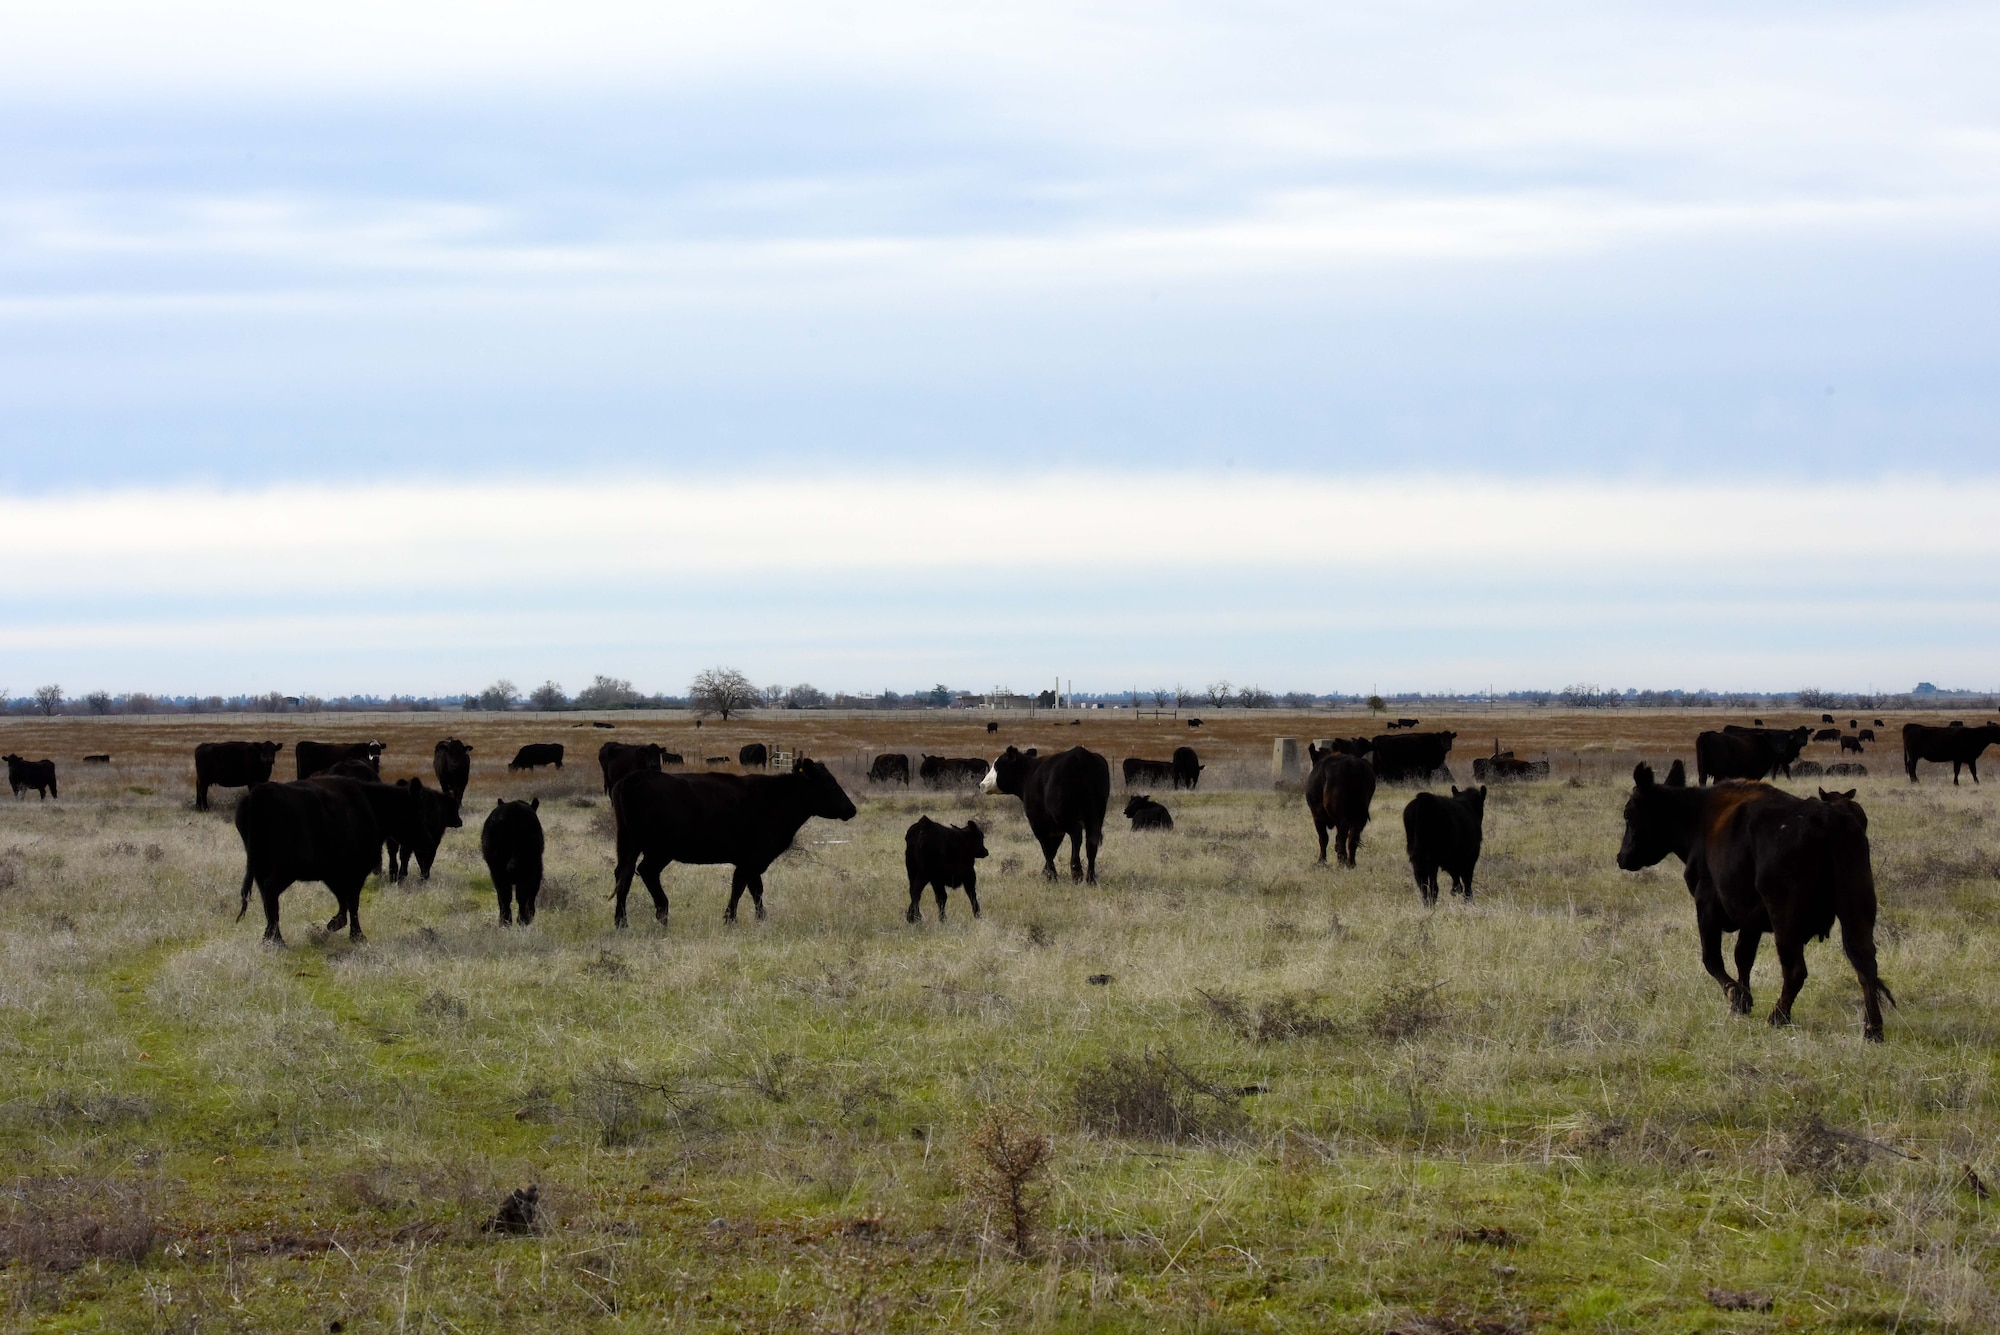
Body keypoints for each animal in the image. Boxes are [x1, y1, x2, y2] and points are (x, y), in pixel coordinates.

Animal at [234, 777, 382, 944]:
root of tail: (261, 792)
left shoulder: (333, 873)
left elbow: (343, 899)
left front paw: (336, 923)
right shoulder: (357, 871)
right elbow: (352, 901)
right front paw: (357, 935)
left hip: (261, 865)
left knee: (265, 896)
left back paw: (271, 939)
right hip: (287, 868)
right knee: (270, 890)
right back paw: (277, 941)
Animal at [610, 757, 857, 926]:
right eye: (830, 784)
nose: (851, 809)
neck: (777, 799)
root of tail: (632, 778)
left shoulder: (751, 861)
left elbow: (756, 890)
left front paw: (760, 919)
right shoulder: (751, 858)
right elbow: (740, 887)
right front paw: (730, 919)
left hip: (628, 843)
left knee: (623, 874)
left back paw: (621, 921)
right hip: (659, 849)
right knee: (645, 871)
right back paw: (662, 912)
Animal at [990, 745, 1111, 883]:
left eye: (996, 766)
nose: (981, 784)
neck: (1028, 774)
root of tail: (1081, 754)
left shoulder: (1037, 823)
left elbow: (1046, 848)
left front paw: (1051, 876)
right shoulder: (1056, 828)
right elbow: (1053, 848)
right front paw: (1047, 873)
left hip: (1065, 816)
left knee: (1076, 835)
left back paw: (1076, 872)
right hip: (1095, 816)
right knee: (1091, 843)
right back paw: (1091, 879)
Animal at [1616, 761, 1892, 1040]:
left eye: (1628, 814)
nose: (1621, 857)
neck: (1698, 818)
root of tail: (1829, 819)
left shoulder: (1707, 905)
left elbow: (1712, 959)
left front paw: (1736, 996)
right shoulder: (1751, 918)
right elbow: (1743, 956)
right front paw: (1744, 999)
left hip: (1785, 917)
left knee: (1795, 970)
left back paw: (1778, 1016)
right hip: (1856, 906)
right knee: (1865, 964)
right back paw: (1873, 1028)